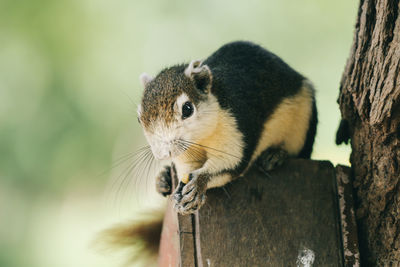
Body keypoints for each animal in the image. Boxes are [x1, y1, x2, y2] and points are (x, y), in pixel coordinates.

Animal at [99, 40, 318, 264]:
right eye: (139, 118)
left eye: (187, 109)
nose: (162, 154)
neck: (201, 139)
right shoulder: (185, 154)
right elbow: (185, 168)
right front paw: (180, 185)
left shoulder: (236, 132)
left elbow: (228, 165)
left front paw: (198, 184)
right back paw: (164, 178)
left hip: (302, 123)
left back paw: (276, 155)